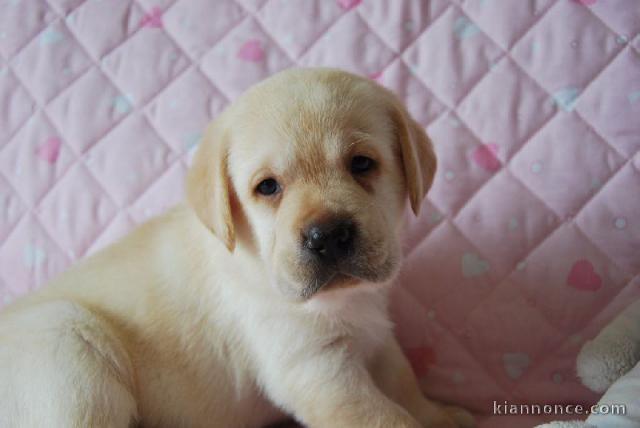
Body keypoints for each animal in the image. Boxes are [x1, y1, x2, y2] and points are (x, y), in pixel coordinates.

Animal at [0, 68, 472, 426]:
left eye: (361, 164)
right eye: (268, 187)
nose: (326, 235)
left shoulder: (376, 337)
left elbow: (405, 385)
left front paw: (443, 416)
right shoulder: (316, 369)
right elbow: (386, 417)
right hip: (69, 347)